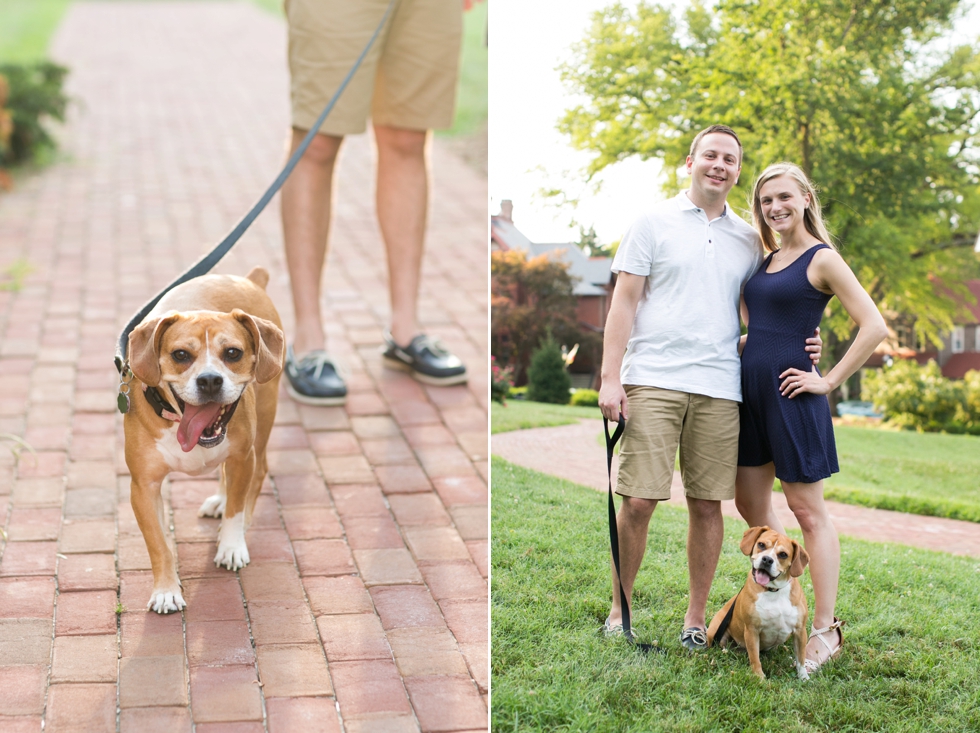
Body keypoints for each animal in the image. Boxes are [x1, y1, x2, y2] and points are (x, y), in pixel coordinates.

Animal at [122, 268, 284, 612]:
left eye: (232, 353)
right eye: (181, 355)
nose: (210, 380)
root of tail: (250, 279)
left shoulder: (242, 458)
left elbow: (236, 508)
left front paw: (231, 545)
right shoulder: (143, 486)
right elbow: (158, 544)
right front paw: (166, 590)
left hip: (263, 420)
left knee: (257, 475)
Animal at [704, 524, 812, 676]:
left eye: (783, 554)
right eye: (761, 545)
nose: (767, 559)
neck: (773, 590)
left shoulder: (800, 630)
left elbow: (801, 658)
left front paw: (803, 677)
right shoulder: (752, 630)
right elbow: (755, 657)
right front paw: (759, 677)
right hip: (715, 631)